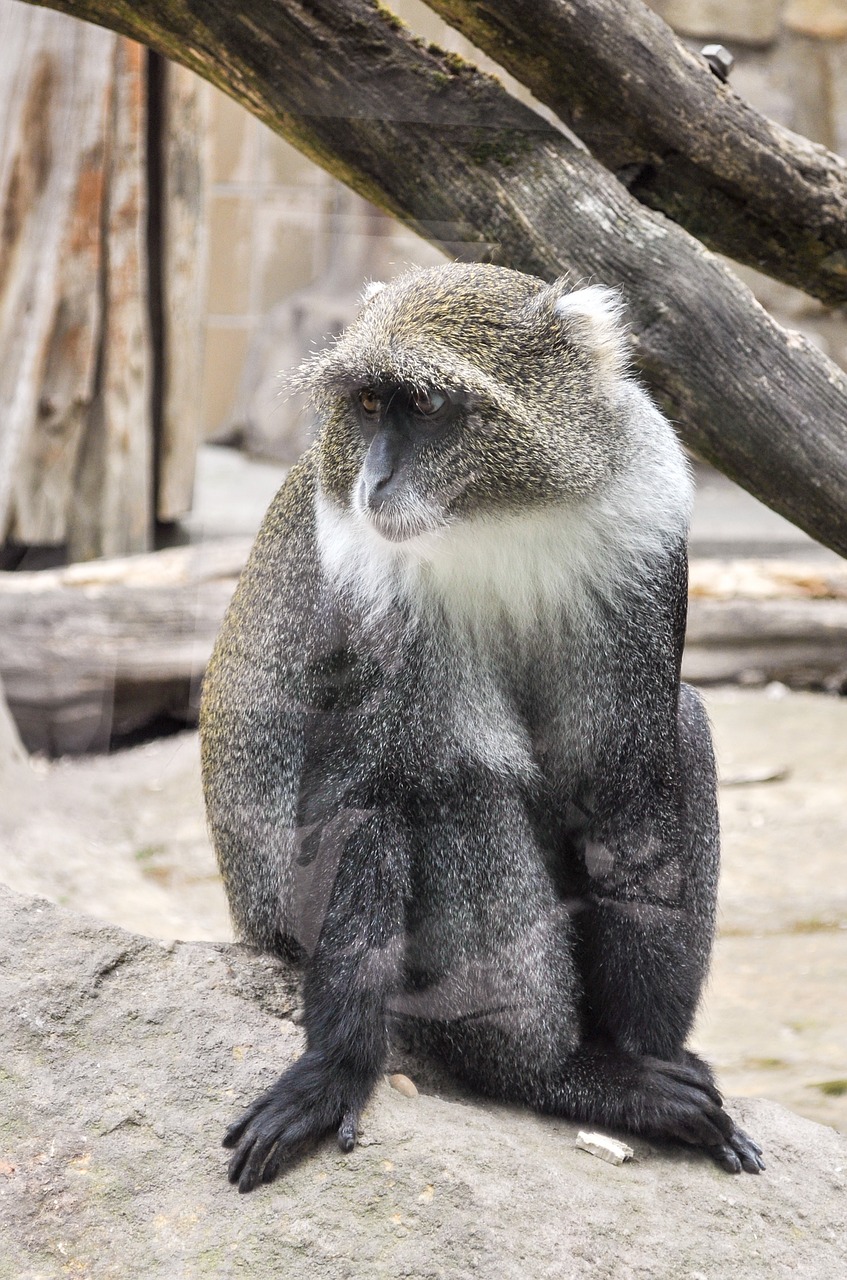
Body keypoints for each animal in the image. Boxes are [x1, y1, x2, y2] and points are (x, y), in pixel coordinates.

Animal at [202, 259, 767, 1187]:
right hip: (291, 913)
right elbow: (368, 789)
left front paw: (642, 1058)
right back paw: (551, 1074)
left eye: (426, 405)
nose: (374, 483)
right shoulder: (371, 579)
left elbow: (627, 777)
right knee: (453, 782)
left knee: (682, 724)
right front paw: (331, 1073)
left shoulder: (644, 521)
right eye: (367, 404)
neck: (496, 513)